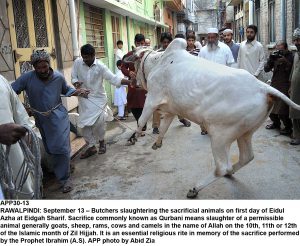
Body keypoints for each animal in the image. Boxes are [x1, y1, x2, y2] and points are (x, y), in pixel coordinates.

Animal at [125, 38, 300, 196]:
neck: (158, 62)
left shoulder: (152, 98)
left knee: (221, 167)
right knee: (246, 157)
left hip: (220, 137)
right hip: (245, 132)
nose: (133, 81)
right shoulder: (171, 109)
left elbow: (141, 121)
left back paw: (195, 188)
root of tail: (264, 88)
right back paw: (231, 171)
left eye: (134, 62)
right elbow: (164, 127)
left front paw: (133, 137)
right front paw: (157, 143)